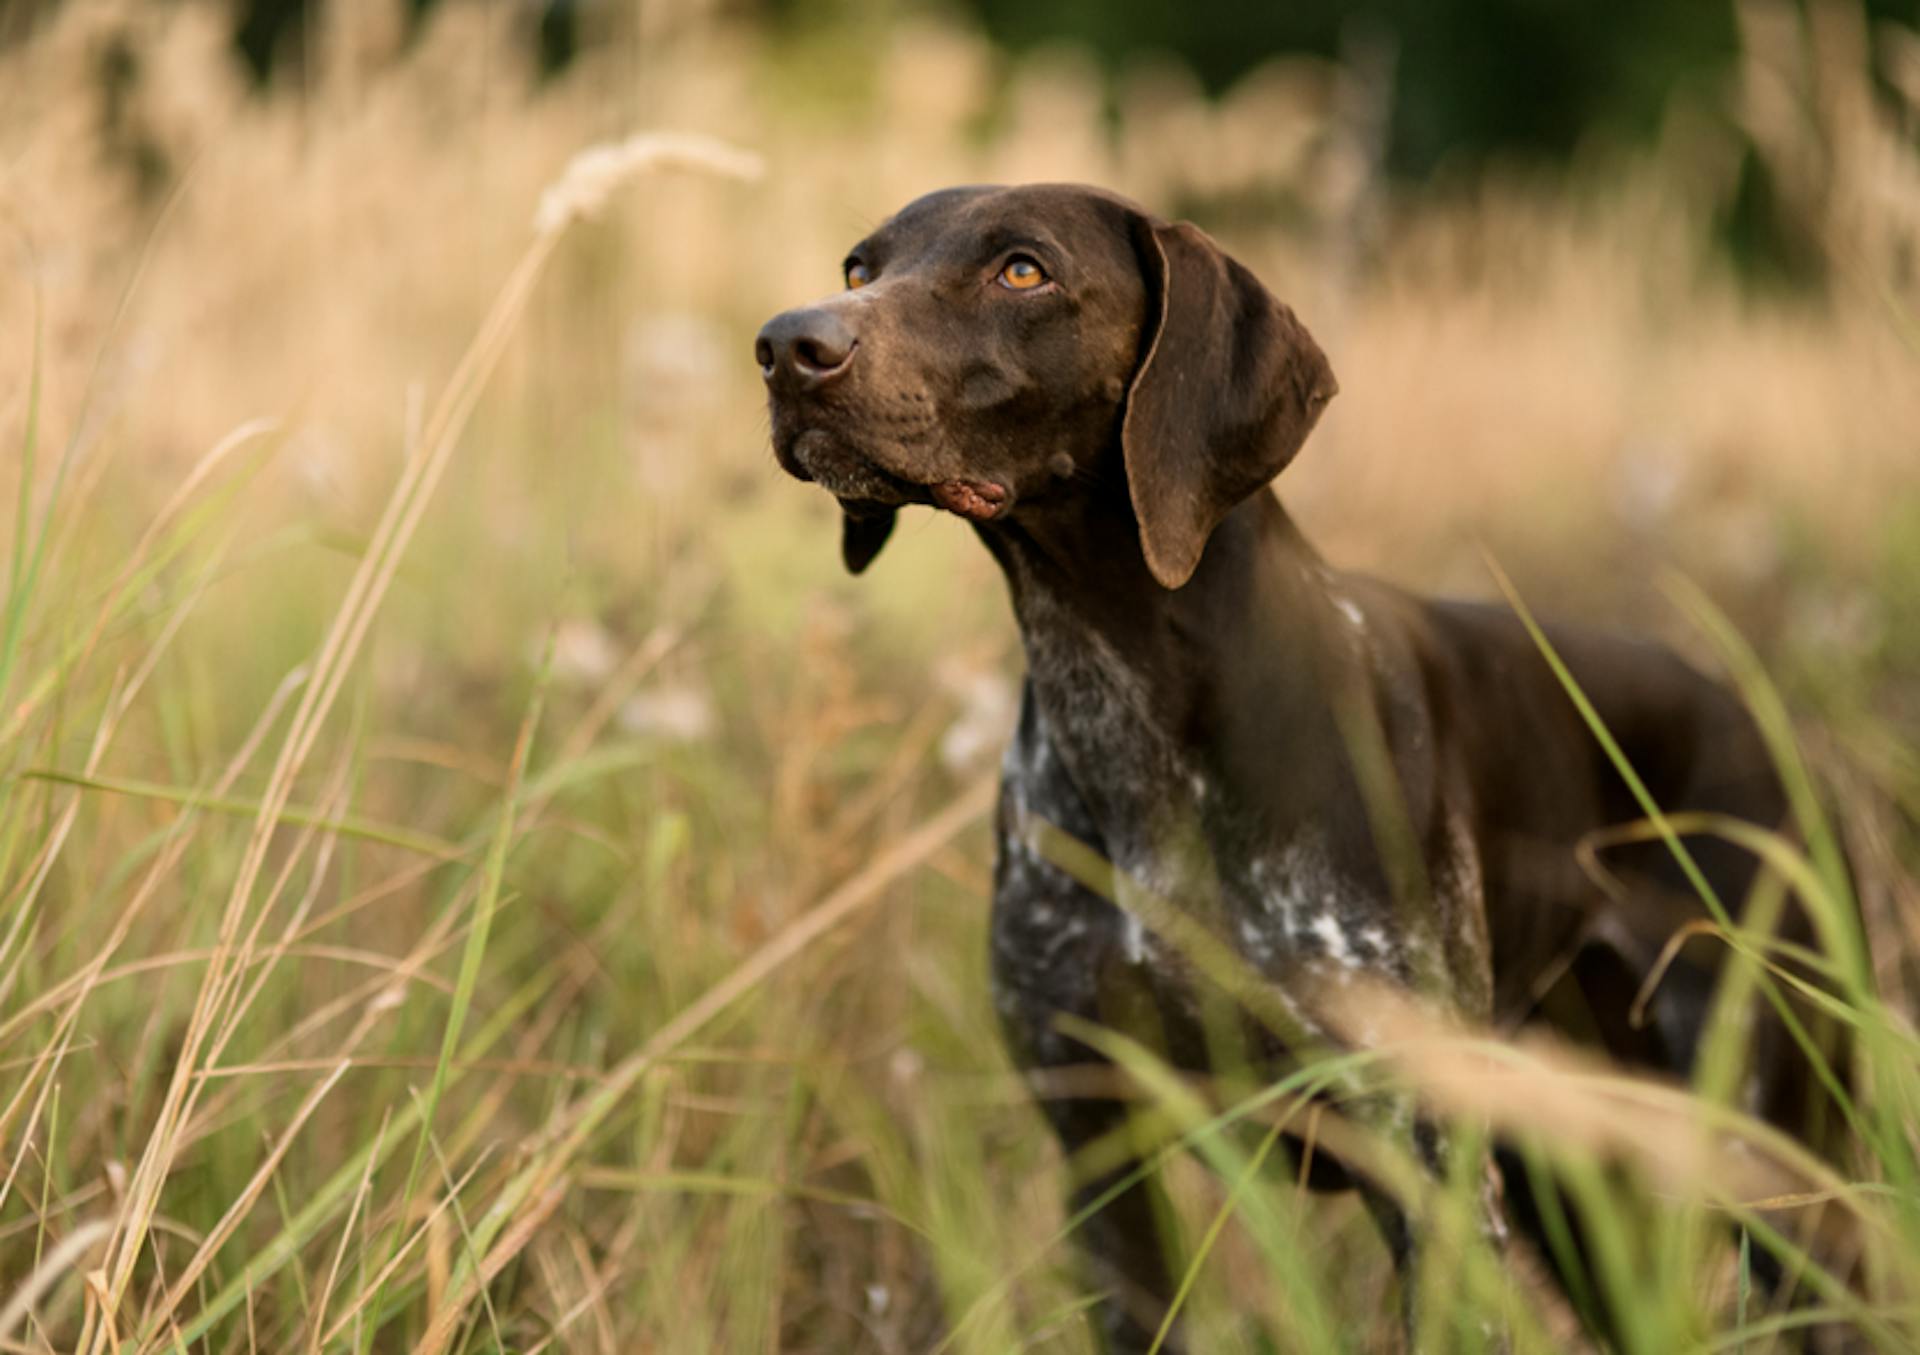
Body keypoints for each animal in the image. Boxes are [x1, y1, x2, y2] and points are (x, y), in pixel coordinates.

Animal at [752, 184, 1843, 1343]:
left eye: (1023, 270)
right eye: (861, 268)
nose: (786, 346)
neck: (1126, 696)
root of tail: (1756, 719)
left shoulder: (1427, 1165)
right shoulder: (1098, 1142)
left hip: (1779, 1169)